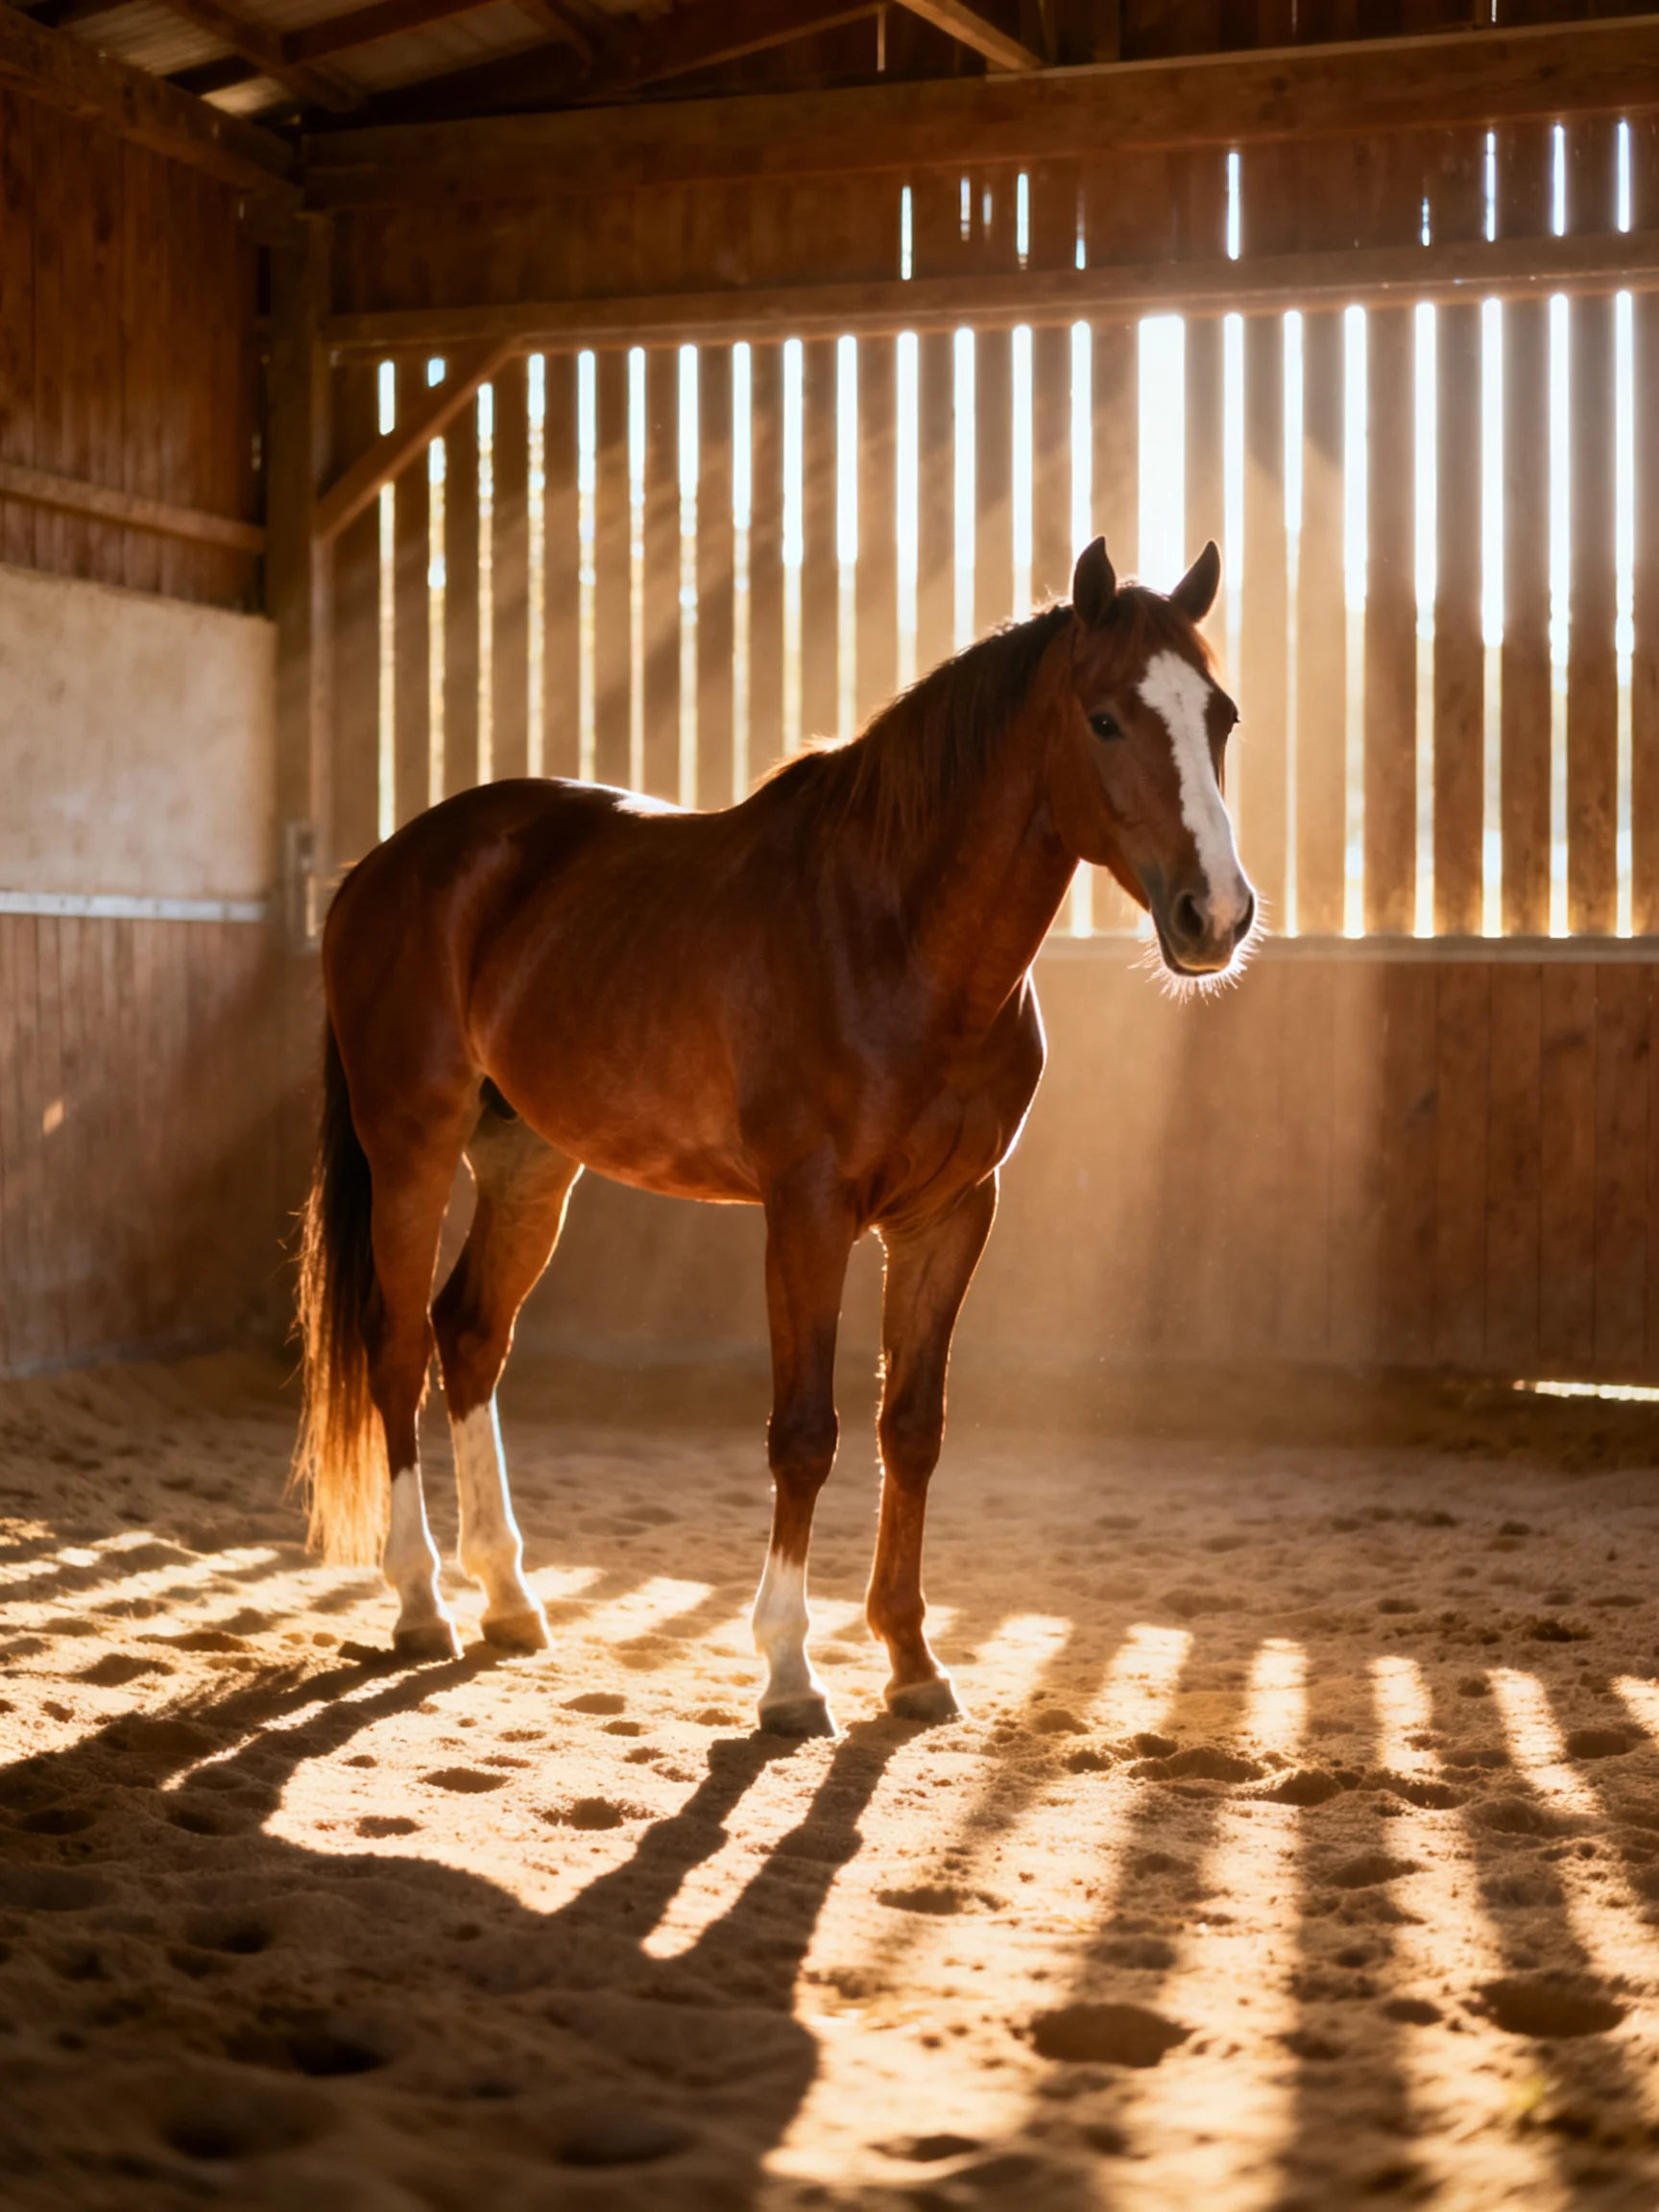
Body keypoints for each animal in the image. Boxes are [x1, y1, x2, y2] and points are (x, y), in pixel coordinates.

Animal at [294, 534, 1256, 1736]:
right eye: (1107, 719)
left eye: (1220, 716)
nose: (1216, 916)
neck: (898, 937)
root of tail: (380, 869)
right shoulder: (807, 1211)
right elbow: (804, 1432)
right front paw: (792, 1671)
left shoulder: (951, 1215)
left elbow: (912, 1427)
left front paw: (911, 1660)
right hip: (410, 1148)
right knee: (399, 1347)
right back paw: (422, 1601)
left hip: (529, 1163)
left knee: (469, 1334)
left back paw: (510, 1599)